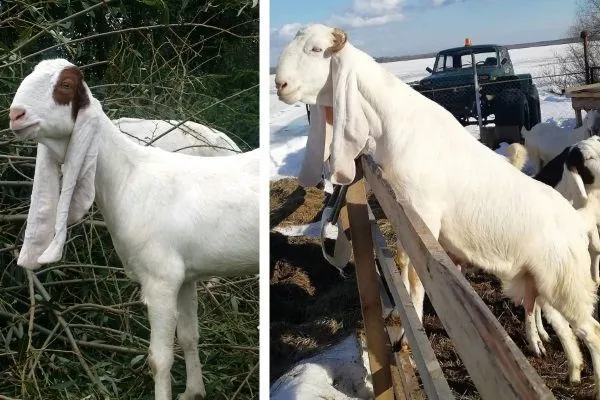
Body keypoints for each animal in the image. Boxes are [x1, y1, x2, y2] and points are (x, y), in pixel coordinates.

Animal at [9, 59, 258, 400]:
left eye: (65, 85)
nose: (15, 115)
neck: (128, 177)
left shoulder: (160, 279)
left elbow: (159, 360)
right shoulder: (185, 276)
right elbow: (189, 337)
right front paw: (193, 392)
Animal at [278, 23, 600, 392]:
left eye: (316, 50)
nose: (280, 85)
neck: (394, 126)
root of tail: (575, 218)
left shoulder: (424, 218)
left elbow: (416, 279)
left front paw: (408, 334)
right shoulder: (403, 214)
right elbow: (403, 265)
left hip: (567, 283)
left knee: (592, 330)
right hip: (539, 282)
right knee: (558, 322)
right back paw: (563, 362)